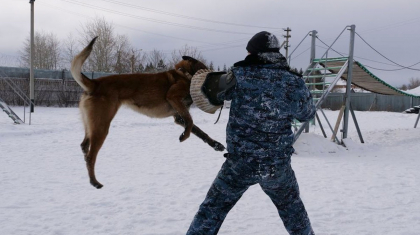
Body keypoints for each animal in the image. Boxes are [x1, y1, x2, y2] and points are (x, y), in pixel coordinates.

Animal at [70, 36, 225, 189]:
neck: (184, 74)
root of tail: (94, 83)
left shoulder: (178, 117)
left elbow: (199, 130)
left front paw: (216, 144)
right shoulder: (174, 98)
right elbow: (191, 121)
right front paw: (184, 136)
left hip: (92, 124)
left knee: (84, 146)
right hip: (102, 126)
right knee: (91, 156)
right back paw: (94, 182)